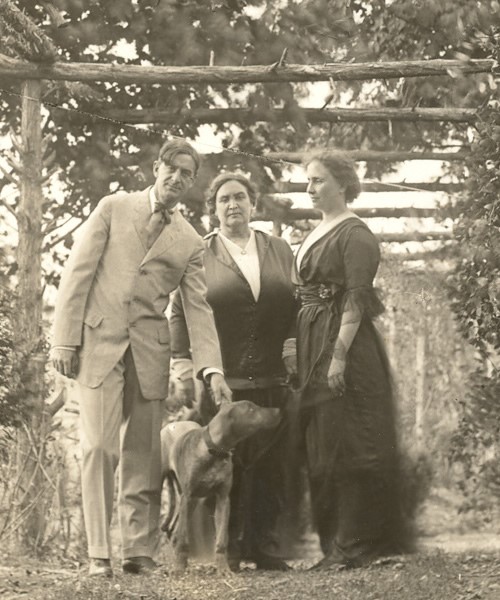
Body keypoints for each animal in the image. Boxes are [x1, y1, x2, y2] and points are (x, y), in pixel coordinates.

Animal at [162, 400, 284, 568]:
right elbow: (184, 537)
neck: (215, 450)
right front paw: (180, 566)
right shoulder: (188, 496)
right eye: (251, 409)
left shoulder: (223, 499)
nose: (278, 410)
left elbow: (221, 538)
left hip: (192, 501)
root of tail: (173, 423)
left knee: (175, 529)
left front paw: (223, 567)